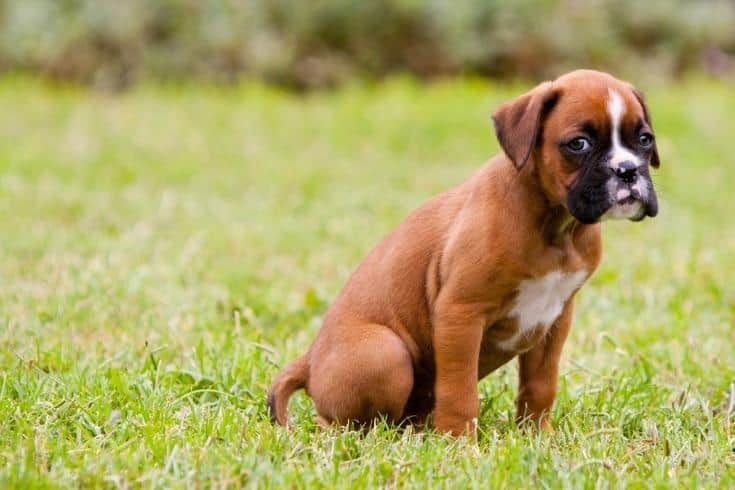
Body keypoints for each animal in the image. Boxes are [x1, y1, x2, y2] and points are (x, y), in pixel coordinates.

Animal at [268, 69, 660, 436]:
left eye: (645, 139)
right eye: (578, 144)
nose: (627, 170)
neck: (556, 225)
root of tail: (309, 360)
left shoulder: (556, 319)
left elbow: (540, 385)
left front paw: (537, 435)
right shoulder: (460, 314)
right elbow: (460, 390)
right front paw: (459, 442)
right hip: (384, 352)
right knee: (338, 422)